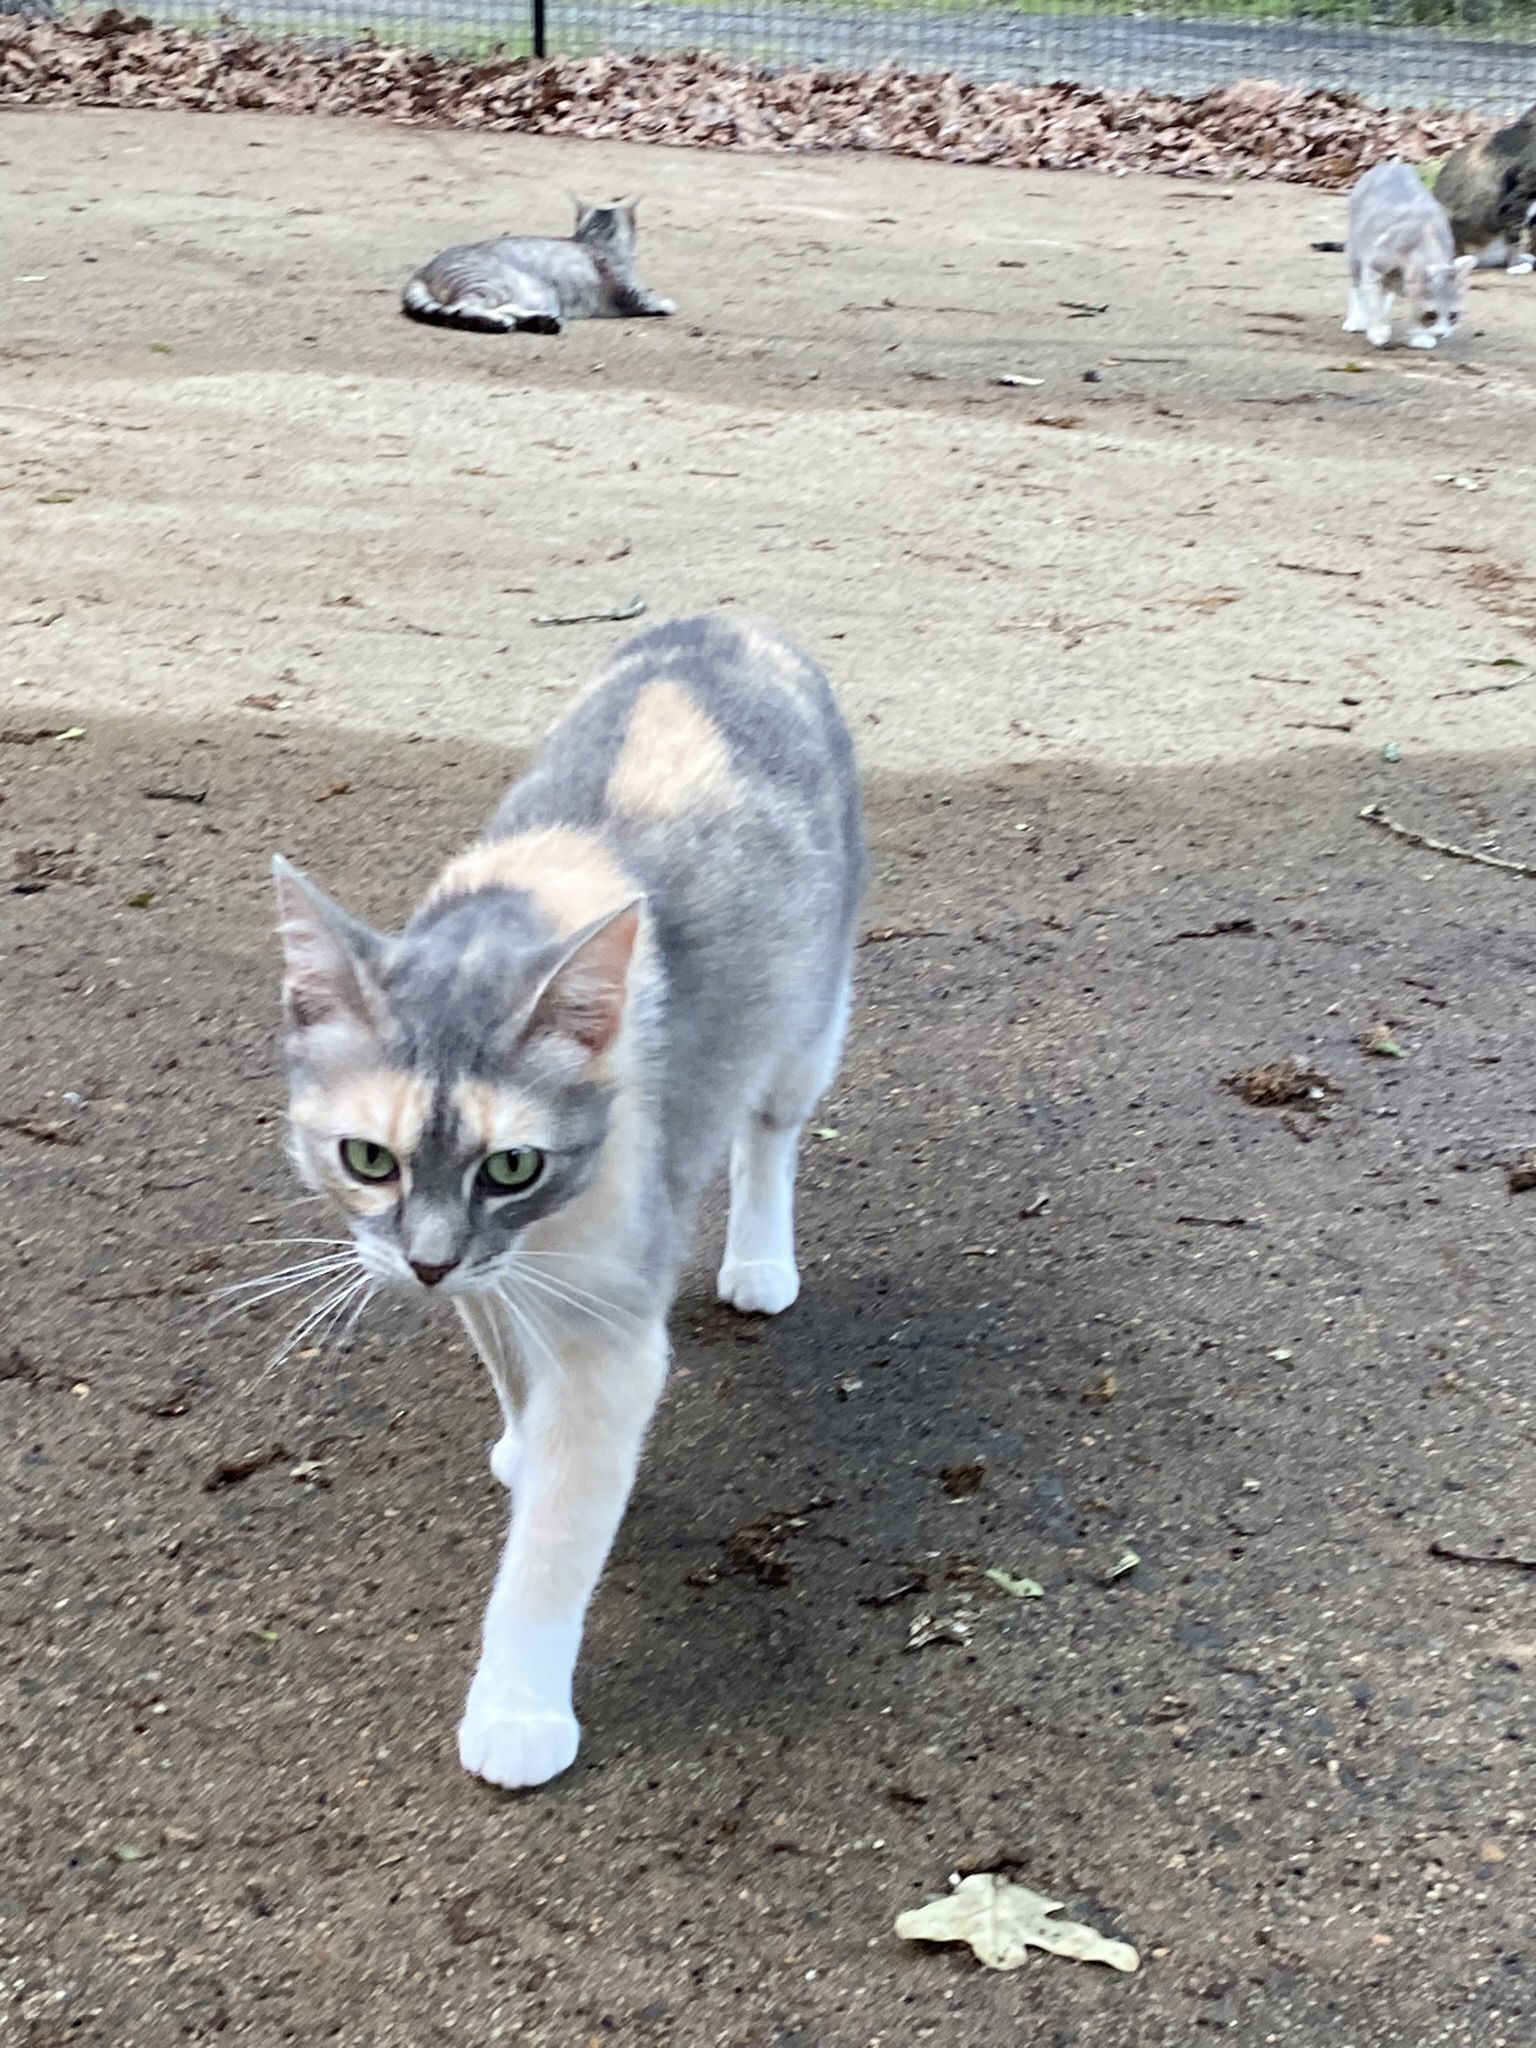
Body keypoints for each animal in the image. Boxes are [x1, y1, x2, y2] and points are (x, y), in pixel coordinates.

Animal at [268, 610, 860, 1794]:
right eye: (367, 1156)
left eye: (511, 1167)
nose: (428, 1261)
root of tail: (724, 618)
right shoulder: (489, 1291)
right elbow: (512, 1373)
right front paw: (520, 1439)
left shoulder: (606, 1336)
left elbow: (548, 1553)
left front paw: (518, 1708)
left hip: (809, 1022)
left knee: (768, 1134)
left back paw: (760, 1259)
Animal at [403, 196, 671, 335]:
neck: (595, 240)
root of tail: (422, 271)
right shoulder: (630, 293)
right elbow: (649, 300)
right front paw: (665, 304)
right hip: (494, 285)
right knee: (461, 309)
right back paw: (500, 322)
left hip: (537, 294)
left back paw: (540, 322)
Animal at [1343, 158, 1482, 348]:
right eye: (1431, 315)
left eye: (1453, 316)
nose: (1441, 333)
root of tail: (1393, 164)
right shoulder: (1374, 267)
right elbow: (1374, 305)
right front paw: (1378, 331)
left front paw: (1420, 336)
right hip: (1356, 254)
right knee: (1357, 287)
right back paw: (1357, 320)